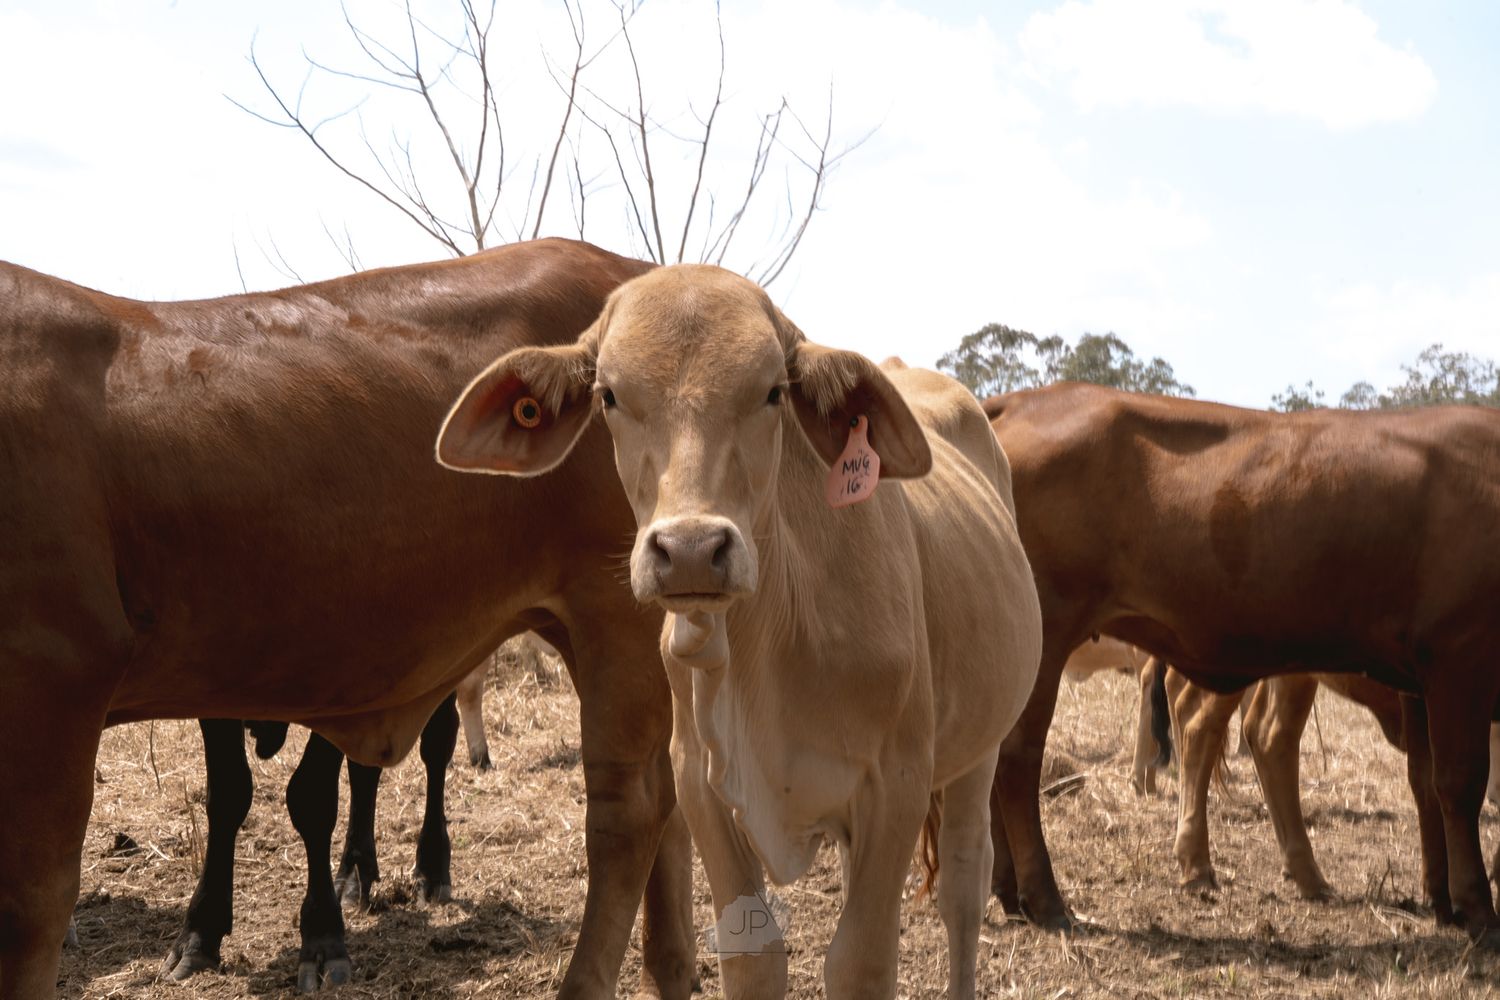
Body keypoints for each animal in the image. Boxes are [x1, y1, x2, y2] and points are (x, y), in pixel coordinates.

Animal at [0, 238, 692, 999]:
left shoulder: (53, 679)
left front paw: (321, 936)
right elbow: (230, 794)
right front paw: (204, 932)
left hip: (615, 615)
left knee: (628, 809)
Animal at [436, 264, 1043, 999]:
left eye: (773, 392)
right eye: (609, 395)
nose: (692, 549)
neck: (768, 652)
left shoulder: (895, 784)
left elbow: (860, 961)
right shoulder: (702, 791)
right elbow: (753, 955)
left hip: (980, 747)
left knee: (962, 883)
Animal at [983, 383, 1500, 947]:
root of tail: (1023, 401)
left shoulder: (1421, 679)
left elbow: (1425, 782)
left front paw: (1443, 900)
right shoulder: (1460, 657)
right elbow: (1459, 783)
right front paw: (1478, 908)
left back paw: (1007, 891)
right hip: (1046, 634)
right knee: (1017, 759)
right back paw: (1045, 899)